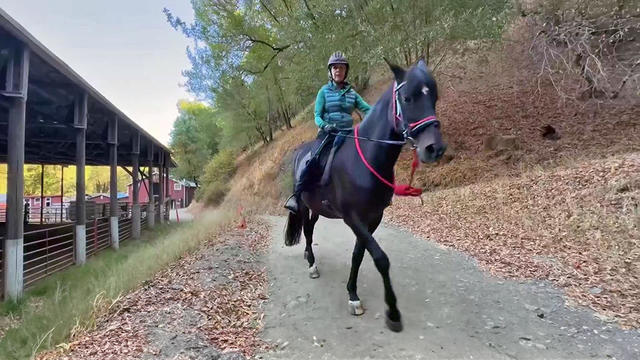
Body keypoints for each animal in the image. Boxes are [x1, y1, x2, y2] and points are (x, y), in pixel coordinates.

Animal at [284, 59, 444, 332]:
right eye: (407, 98)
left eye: (433, 96)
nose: (434, 148)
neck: (365, 159)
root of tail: (299, 151)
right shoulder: (353, 218)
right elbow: (380, 258)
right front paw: (392, 313)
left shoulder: (373, 218)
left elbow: (358, 255)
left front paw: (353, 294)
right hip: (303, 206)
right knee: (306, 230)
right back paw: (312, 264)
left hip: (316, 209)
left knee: (310, 230)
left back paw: (308, 255)